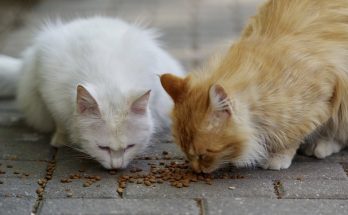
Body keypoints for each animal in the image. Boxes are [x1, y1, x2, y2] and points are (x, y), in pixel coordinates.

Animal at [0, 16, 185, 169]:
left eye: (129, 147)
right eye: (102, 148)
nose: (116, 167)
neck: (108, 79)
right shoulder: (49, 93)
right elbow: (60, 123)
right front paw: (60, 140)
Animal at [160, 0, 348, 172]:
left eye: (204, 154)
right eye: (186, 153)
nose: (196, 169)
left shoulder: (321, 101)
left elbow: (291, 136)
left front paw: (278, 157)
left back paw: (322, 146)